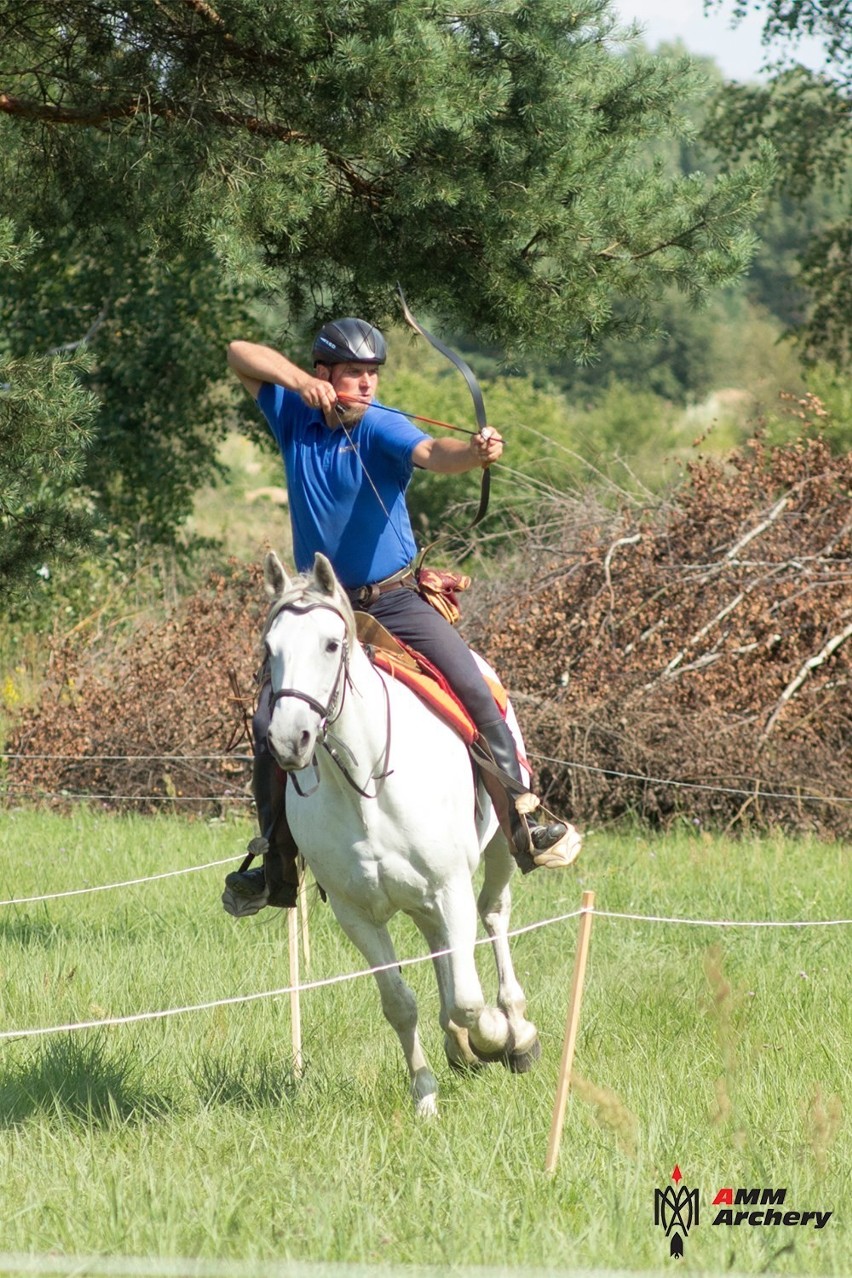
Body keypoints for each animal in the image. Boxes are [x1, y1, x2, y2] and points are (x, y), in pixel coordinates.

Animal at [256, 549, 556, 1119]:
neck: (367, 787)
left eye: (331, 645)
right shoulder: (356, 913)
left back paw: (517, 1029)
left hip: (501, 849)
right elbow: (399, 1002)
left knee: (493, 916)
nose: (287, 740)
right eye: (269, 649)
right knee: (441, 948)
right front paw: (426, 1094)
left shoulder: (450, 885)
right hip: (419, 899)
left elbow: (467, 1001)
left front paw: (493, 1037)